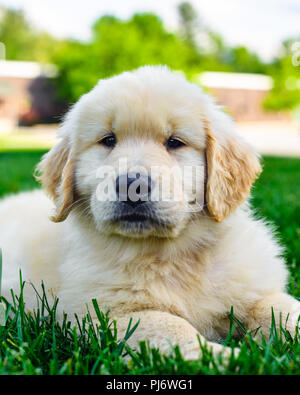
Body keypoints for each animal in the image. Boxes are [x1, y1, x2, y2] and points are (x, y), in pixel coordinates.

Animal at [0, 66, 300, 360]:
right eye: (108, 140)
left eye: (174, 142)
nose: (131, 185)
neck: (172, 255)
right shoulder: (102, 316)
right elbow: (172, 326)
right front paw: (227, 358)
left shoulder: (254, 285)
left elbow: (281, 308)